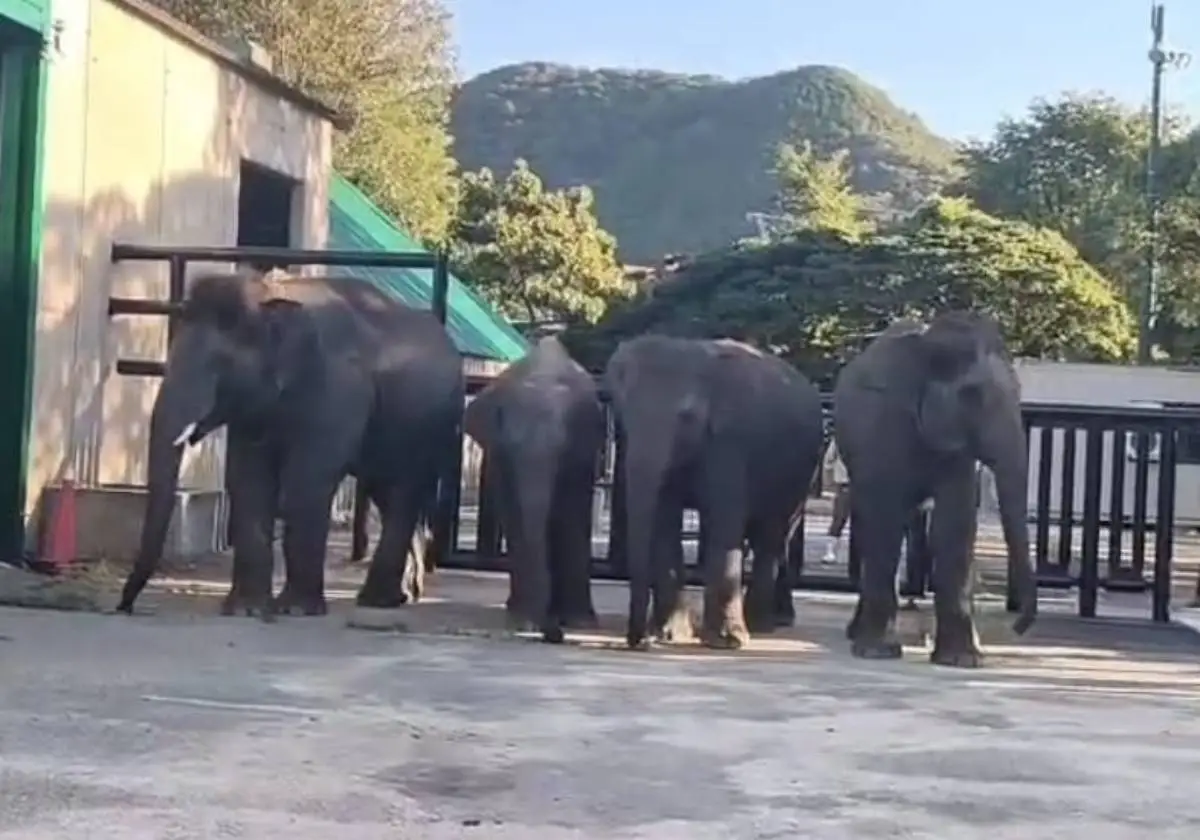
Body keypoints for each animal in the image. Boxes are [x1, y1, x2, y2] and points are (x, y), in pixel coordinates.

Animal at [116, 270, 465, 618]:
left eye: (219, 364)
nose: (124, 606)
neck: (269, 295)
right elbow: (248, 481)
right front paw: (246, 610)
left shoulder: (336, 390)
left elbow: (305, 482)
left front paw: (295, 609)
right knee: (389, 492)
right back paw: (402, 594)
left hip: (431, 429)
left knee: (403, 491)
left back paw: (378, 600)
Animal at [463, 336, 603, 643]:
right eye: (508, 446)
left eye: (561, 449)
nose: (554, 634)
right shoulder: (499, 457)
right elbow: (514, 517)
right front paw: (523, 621)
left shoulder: (580, 454)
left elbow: (572, 516)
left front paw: (579, 622)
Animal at [604, 335, 825, 651]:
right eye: (622, 416)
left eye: (686, 417)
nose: (639, 641)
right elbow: (664, 519)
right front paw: (670, 635)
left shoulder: (731, 442)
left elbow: (724, 519)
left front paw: (727, 641)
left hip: (800, 474)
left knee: (774, 533)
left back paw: (764, 624)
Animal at [832, 311, 1037, 667]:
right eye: (972, 396)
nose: (1019, 626)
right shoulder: (884, 423)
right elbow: (885, 522)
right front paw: (877, 652)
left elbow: (954, 523)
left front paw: (963, 660)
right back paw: (859, 636)